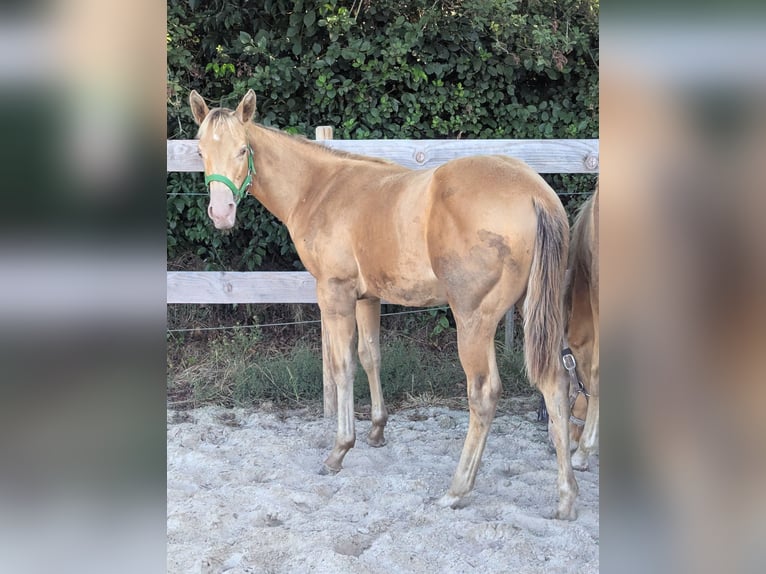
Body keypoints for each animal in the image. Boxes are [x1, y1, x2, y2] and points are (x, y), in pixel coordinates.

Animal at [188, 89, 578, 520]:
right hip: (538, 311)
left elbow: (343, 366)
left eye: (243, 149)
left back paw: (457, 489)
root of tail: (535, 194)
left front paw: (339, 450)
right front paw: (376, 429)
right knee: (556, 383)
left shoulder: (335, 294)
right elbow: (371, 356)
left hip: (473, 320)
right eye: (201, 151)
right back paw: (566, 497)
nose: (221, 213)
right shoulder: (368, 297)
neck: (319, 189)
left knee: (484, 393)